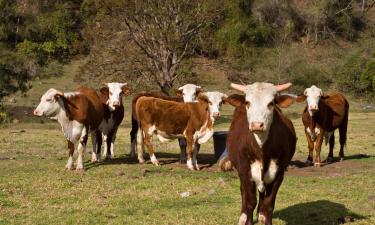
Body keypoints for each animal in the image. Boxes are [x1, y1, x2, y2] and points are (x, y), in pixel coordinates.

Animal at [220, 82, 296, 225]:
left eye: (271, 103)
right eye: (247, 102)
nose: (257, 125)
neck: (262, 151)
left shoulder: (279, 174)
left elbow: (269, 203)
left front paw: (266, 218)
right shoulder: (245, 172)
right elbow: (250, 201)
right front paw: (247, 220)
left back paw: (261, 214)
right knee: (243, 192)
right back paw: (243, 216)